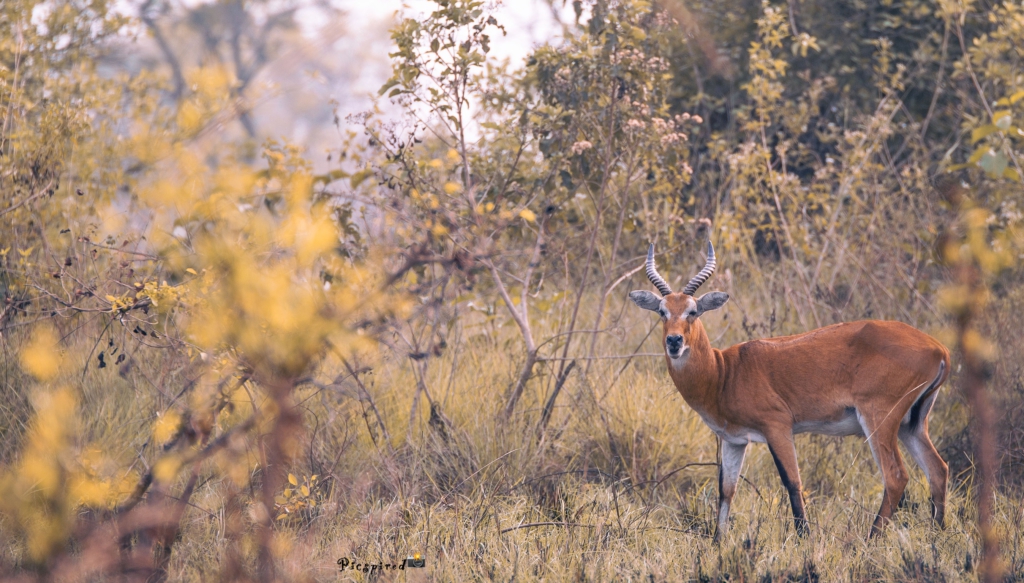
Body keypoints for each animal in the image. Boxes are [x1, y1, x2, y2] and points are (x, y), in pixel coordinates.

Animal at [630, 240, 950, 536]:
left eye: (693, 311)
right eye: (662, 311)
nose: (674, 341)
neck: (724, 373)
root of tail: (939, 348)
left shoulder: (778, 426)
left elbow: (792, 482)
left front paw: (804, 538)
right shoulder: (735, 441)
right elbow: (726, 490)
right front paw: (718, 543)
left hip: (878, 419)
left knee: (896, 476)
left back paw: (871, 539)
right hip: (911, 425)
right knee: (938, 469)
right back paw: (937, 536)